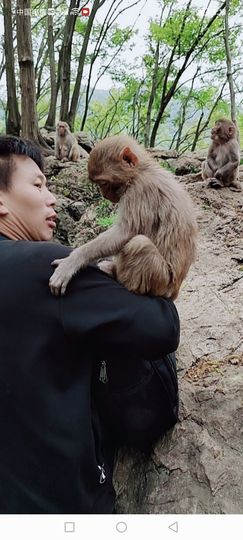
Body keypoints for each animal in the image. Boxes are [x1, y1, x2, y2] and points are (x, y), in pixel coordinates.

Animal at [49, 133, 197, 298]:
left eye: (104, 183)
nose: (104, 195)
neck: (140, 172)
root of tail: (174, 291)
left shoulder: (141, 191)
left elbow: (125, 233)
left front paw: (73, 261)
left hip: (161, 281)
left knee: (139, 243)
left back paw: (119, 278)